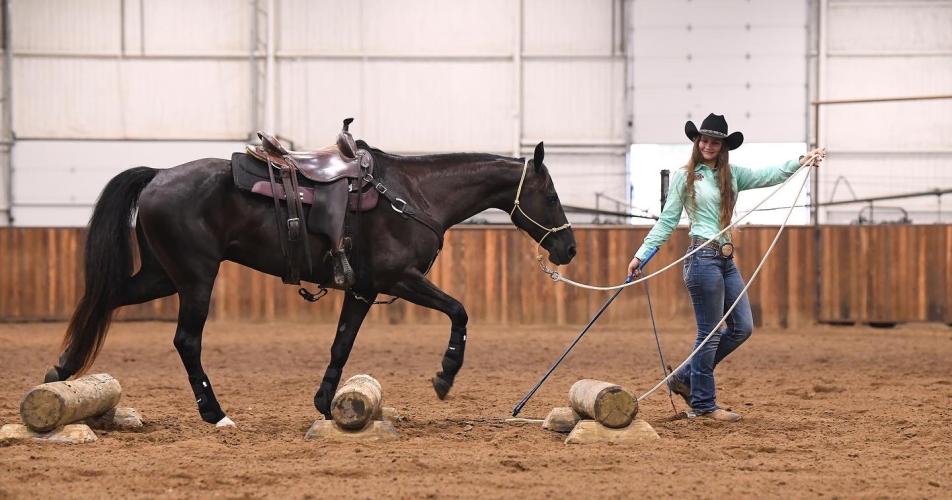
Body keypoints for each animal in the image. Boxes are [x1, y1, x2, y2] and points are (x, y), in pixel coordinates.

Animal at [44, 139, 577, 427]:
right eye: (551, 195)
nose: (569, 249)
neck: (413, 195)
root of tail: (158, 175)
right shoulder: (400, 279)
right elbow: (459, 310)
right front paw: (445, 375)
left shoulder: (363, 289)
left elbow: (341, 345)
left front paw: (324, 404)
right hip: (195, 277)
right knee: (186, 341)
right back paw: (216, 414)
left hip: (161, 275)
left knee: (105, 299)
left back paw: (60, 373)